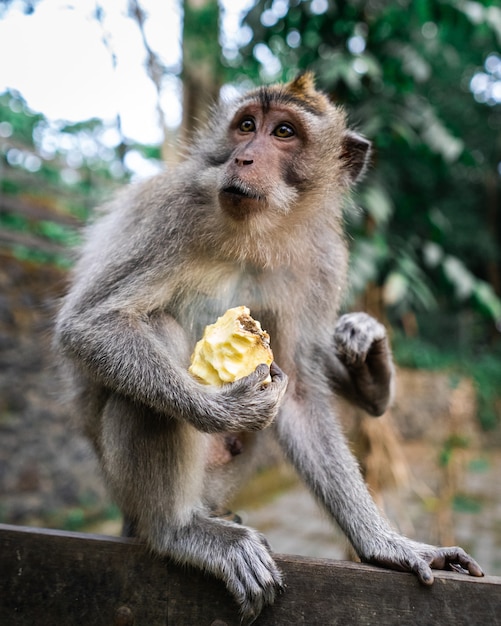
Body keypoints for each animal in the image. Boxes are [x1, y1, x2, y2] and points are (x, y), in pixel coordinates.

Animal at [54, 72, 480, 620]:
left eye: (283, 132)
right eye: (246, 126)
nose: (244, 159)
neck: (258, 229)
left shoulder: (322, 260)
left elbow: (297, 391)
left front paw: (387, 545)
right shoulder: (172, 213)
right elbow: (89, 324)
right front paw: (221, 409)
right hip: (122, 482)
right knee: (156, 330)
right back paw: (178, 530)